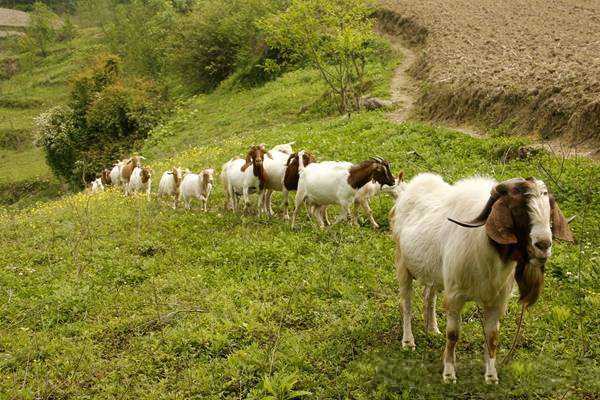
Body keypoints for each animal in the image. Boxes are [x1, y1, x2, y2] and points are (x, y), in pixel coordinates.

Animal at [392, 174, 576, 384]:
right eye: (517, 209)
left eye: (549, 209)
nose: (543, 245)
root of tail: (409, 188)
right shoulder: (455, 296)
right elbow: (453, 335)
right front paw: (449, 374)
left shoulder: (496, 301)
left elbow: (492, 337)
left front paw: (491, 376)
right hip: (403, 264)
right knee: (406, 303)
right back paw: (408, 342)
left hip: (434, 273)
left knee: (428, 295)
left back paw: (432, 329)